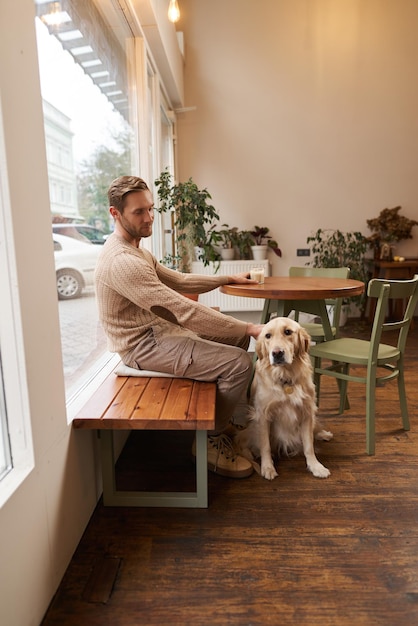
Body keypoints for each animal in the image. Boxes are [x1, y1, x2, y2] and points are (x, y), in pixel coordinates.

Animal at [237, 314, 332, 480]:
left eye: (288, 332)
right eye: (268, 335)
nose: (277, 353)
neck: (285, 376)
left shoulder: (307, 412)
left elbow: (309, 446)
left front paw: (316, 467)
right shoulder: (263, 415)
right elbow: (265, 446)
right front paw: (267, 467)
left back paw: (323, 434)